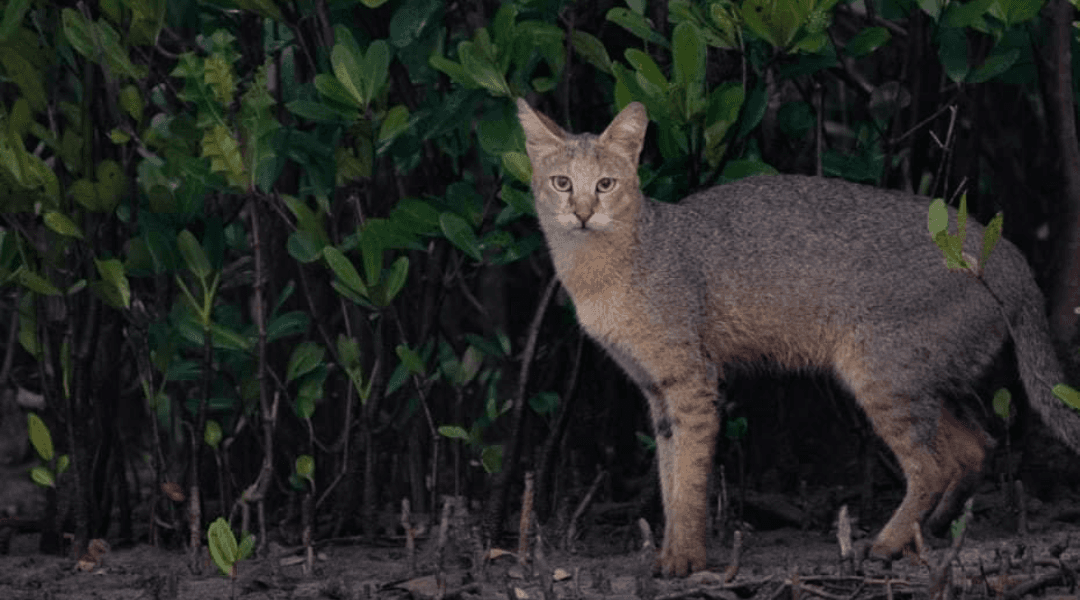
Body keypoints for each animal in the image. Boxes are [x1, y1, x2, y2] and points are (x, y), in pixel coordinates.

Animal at [516, 97, 1080, 578]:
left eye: (605, 184)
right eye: (562, 182)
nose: (582, 212)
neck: (602, 271)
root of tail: (1010, 255)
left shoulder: (691, 382)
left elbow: (689, 480)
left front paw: (685, 560)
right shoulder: (657, 391)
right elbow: (668, 475)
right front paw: (670, 553)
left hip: (881, 375)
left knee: (932, 465)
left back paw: (885, 544)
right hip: (924, 379)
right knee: (976, 446)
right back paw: (935, 530)